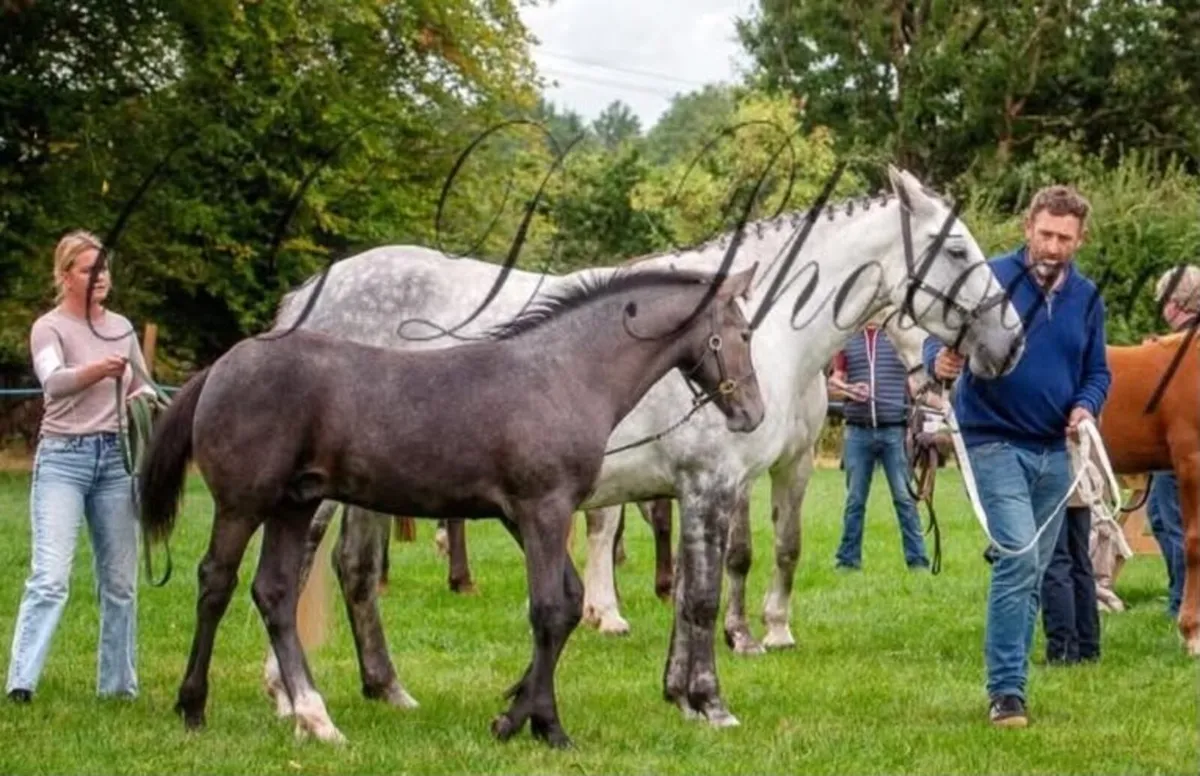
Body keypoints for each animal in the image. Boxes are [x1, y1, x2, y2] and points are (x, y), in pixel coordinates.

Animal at [136, 264, 767, 748]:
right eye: (741, 333)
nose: (752, 415)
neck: (563, 373)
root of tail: (220, 367)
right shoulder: (543, 508)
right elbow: (550, 610)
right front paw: (544, 726)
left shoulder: (523, 515)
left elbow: (563, 604)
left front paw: (515, 715)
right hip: (243, 505)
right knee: (215, 583)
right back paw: (194, 706)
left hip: (293, 506)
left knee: (273, 593)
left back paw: (317, 719)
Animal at [272, 166, 1026, 727]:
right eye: (957, 250)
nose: (1011, 341)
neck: (753, 329)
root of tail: (312, 292)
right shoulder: (711, 483)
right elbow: (702, 597)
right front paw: (711, 702)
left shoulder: (701, 489)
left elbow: (697, 585)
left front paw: (680, 692)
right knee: (291, 571)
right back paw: (292, 699)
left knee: (354, 573)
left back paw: (386, 689)